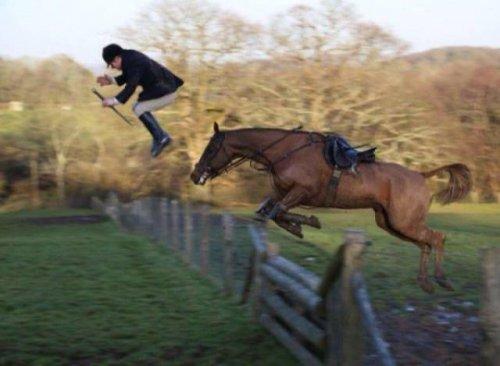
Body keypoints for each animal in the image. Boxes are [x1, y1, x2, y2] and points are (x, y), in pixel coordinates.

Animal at [190, 122, 472, 292]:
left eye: (211, 148)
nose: (195, 175)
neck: (285, 152)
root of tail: (421, 175)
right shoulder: (283, 194)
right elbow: (270, 211)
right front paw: (300, 226)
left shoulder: (301, 192)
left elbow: (277, 212)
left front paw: (306, 223)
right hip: (391, 223)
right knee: (425, 243)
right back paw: (425, 282)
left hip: (404, 222)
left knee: (437, 238)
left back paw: (441, 279)